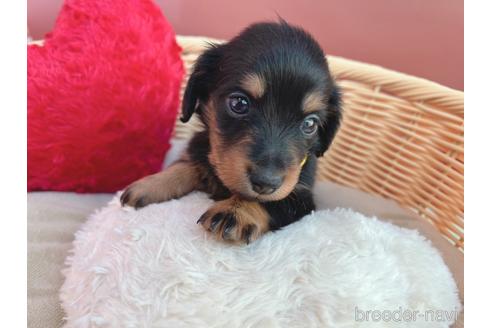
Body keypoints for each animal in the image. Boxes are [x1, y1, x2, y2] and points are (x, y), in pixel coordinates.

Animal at [120, 21, 342, 243]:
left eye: (310, 124)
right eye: (239, 103)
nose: (266, 182)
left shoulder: (301, 197)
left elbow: (271, 201)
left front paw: (235, 211)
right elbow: (186, 165)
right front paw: (148, 184)